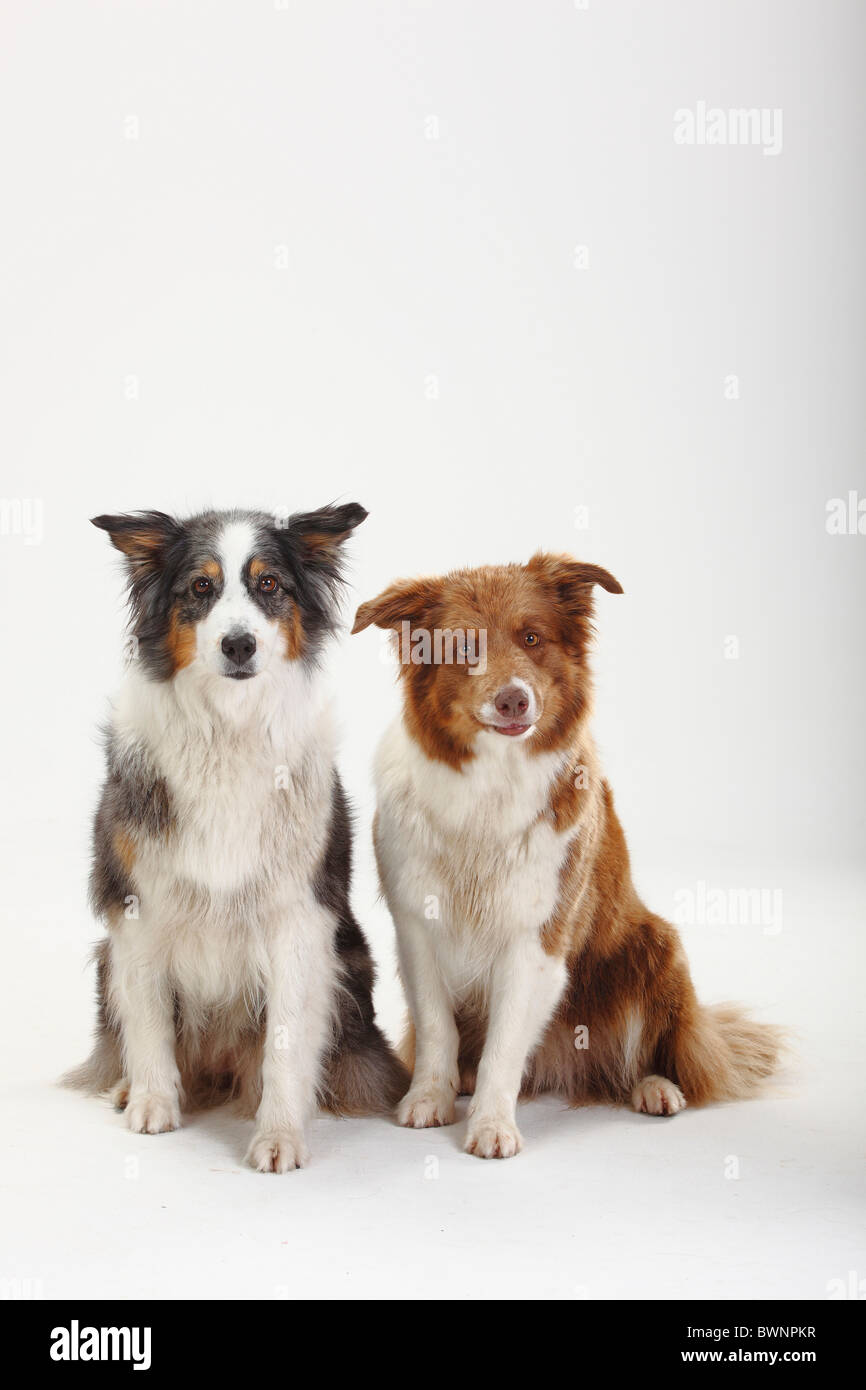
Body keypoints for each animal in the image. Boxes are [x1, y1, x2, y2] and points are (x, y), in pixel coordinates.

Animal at [354, 558, 783, 1156]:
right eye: (462, 648)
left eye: (532, 638)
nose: (513, 699)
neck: (491, 783)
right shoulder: (416, 924)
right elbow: (438, 1027)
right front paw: (430, 1098)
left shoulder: (538, 935)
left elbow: (505, 1042)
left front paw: (491, 1124)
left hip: (656, 947)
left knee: (667, 1055)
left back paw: (656, 1088)